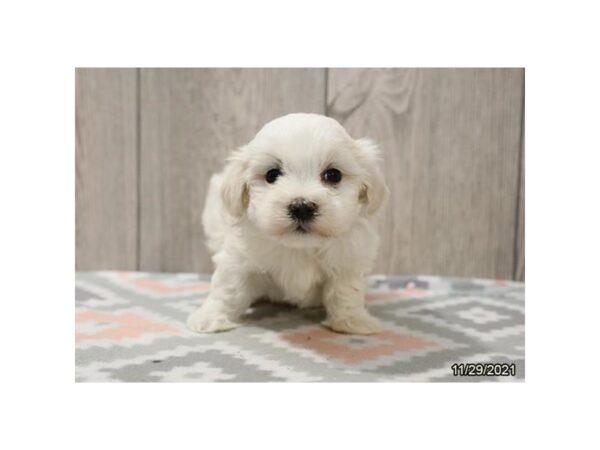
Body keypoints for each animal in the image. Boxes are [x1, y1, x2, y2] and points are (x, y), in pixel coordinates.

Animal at [188, 114, 390, 336]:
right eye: (272, 174)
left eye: (333, 175)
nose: (301, 207)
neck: (299, 247)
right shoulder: (238, 258)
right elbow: (228, 288)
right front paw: (210, 318)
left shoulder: (348, 259)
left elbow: (346, 290)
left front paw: (353, 321)